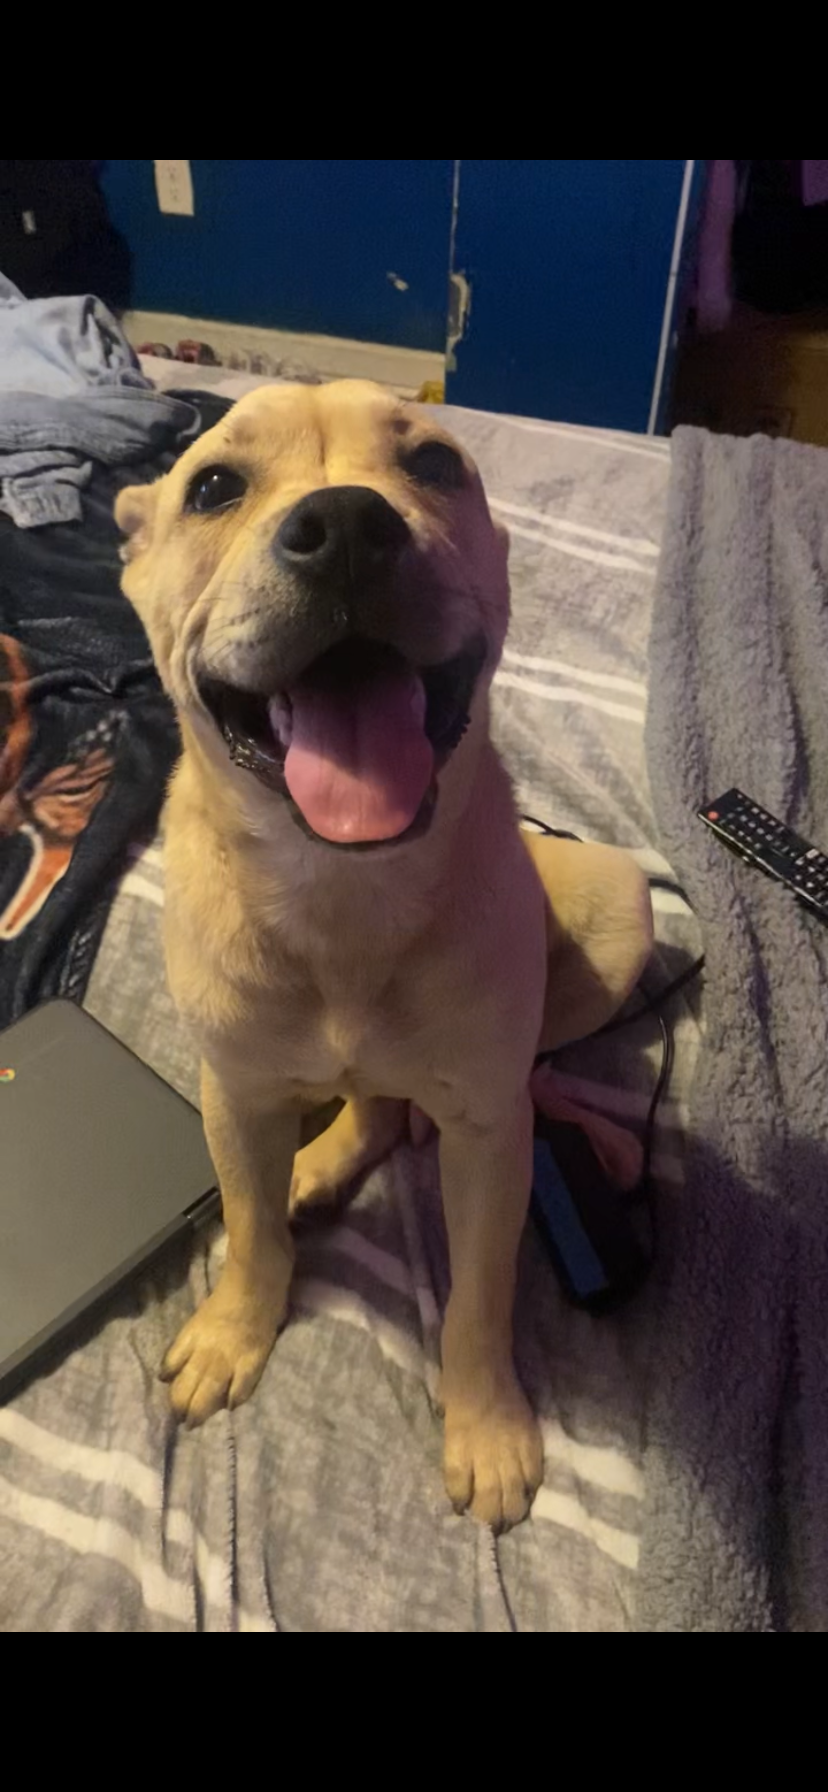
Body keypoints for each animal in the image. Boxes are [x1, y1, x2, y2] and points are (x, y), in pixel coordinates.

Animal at [116, 380, 652, 1530]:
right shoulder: (234, 1093)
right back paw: (323, 1162)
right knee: (366, 1100)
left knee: (503, 1083)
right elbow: (250, 1228)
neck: (343, 891)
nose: (347, 526)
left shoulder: (490, 1137)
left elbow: (483, 1296)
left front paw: (485, 1425)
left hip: (617, 910)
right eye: (212, 486)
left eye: (436, 465)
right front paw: (237, 1328)